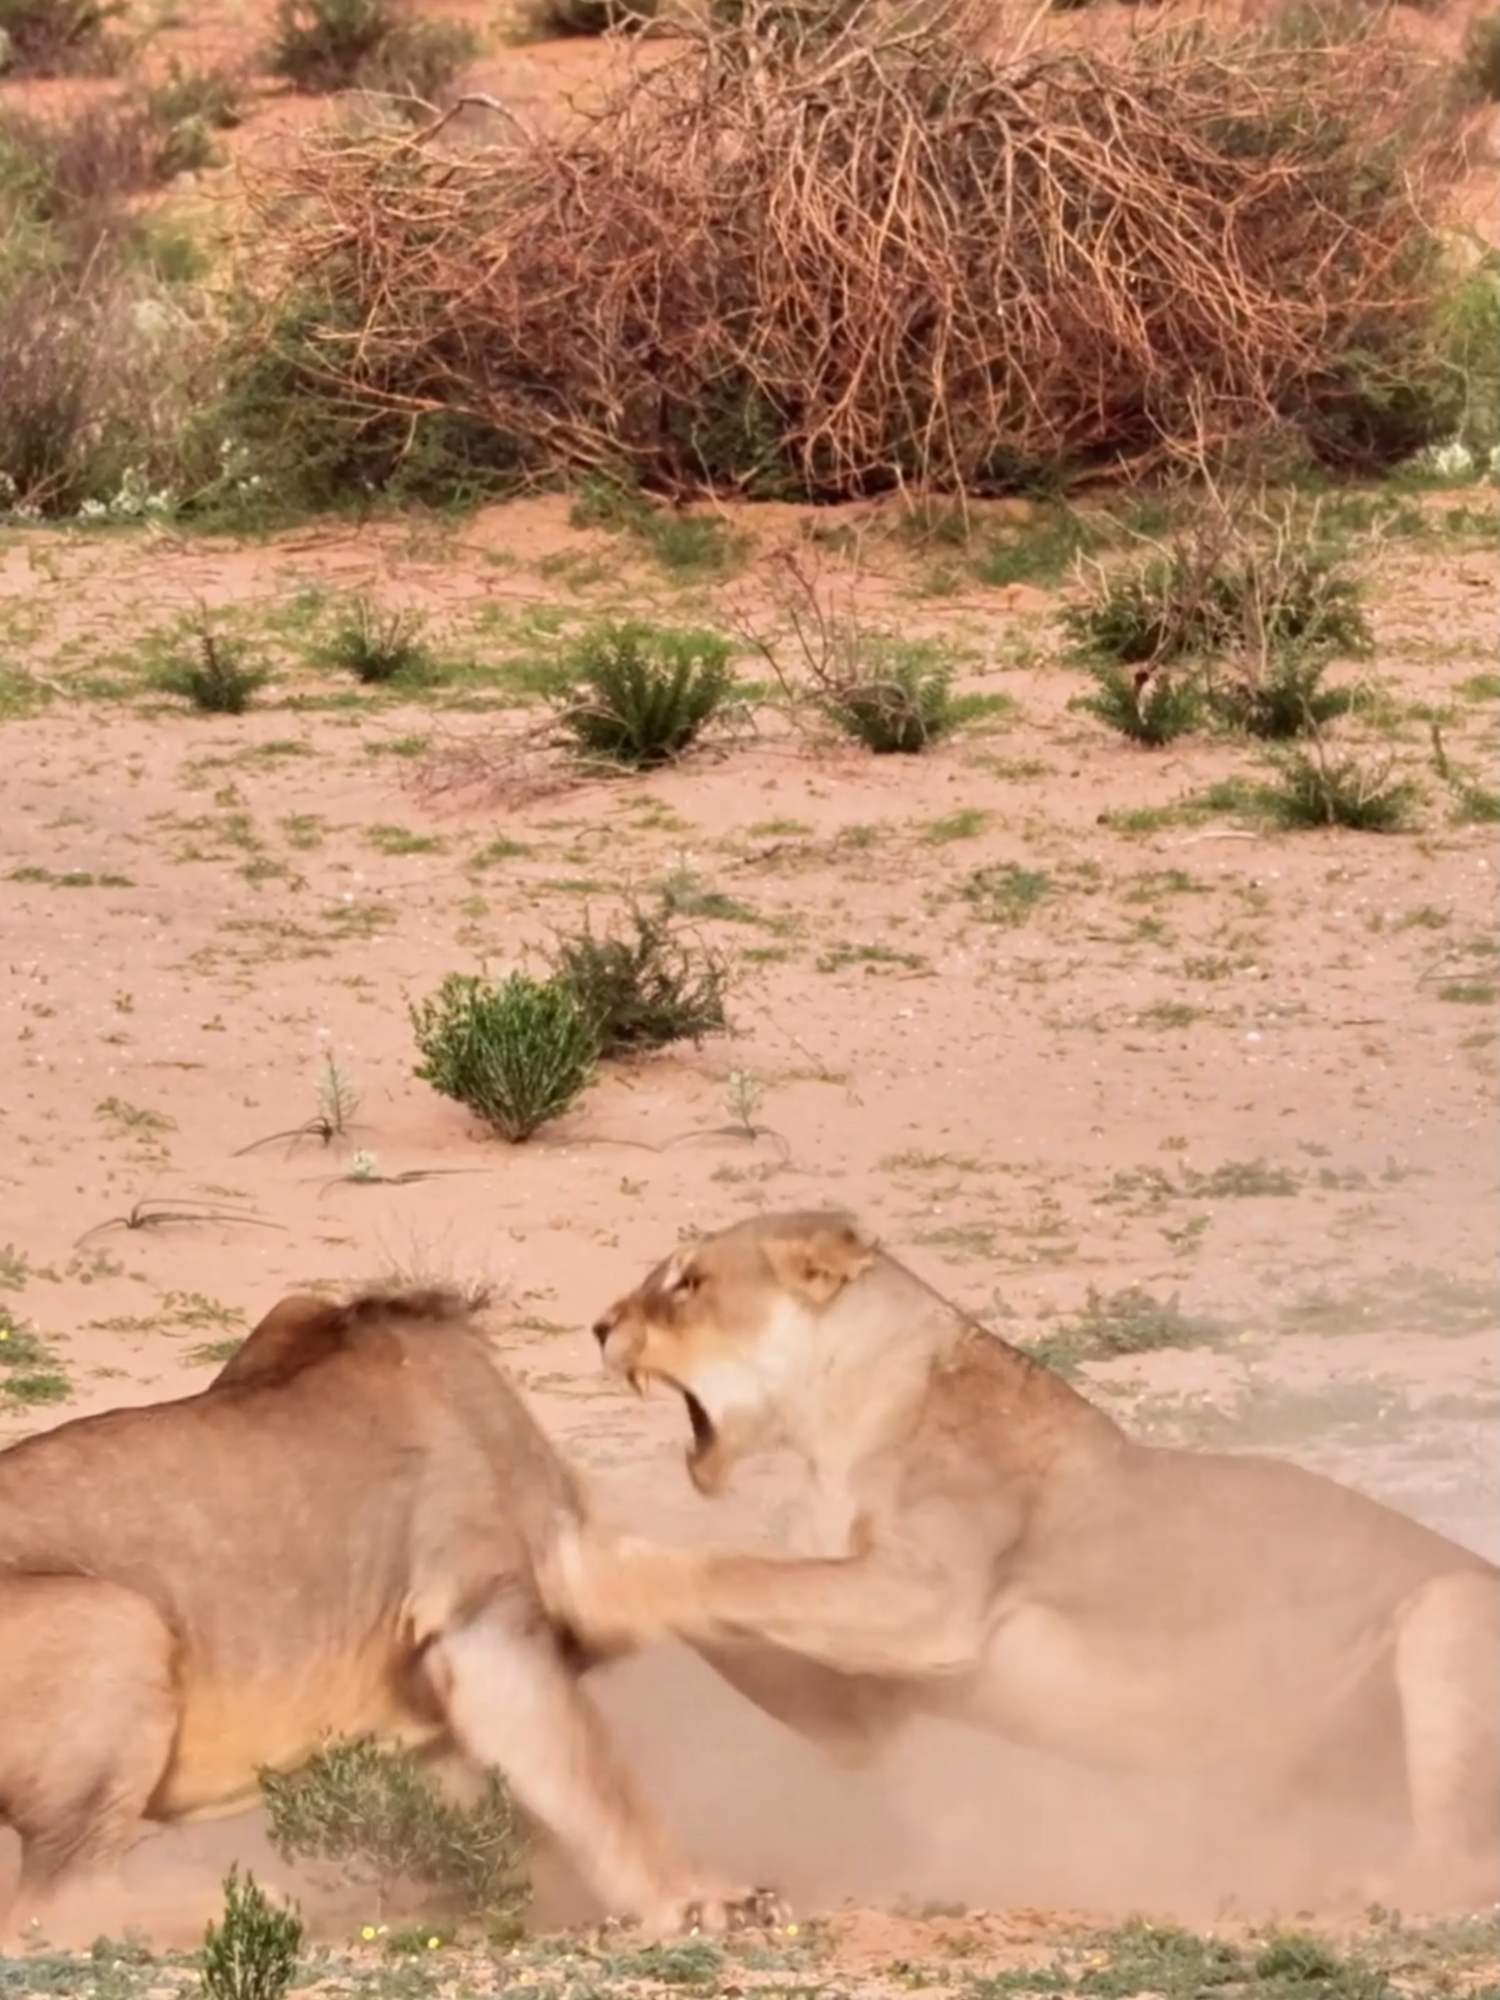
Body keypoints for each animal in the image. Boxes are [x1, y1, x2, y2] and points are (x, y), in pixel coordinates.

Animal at [0, 1280, 792, 1952]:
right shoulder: (480, 1620)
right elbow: (597, 1778)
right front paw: (710, 1901)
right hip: (116, 1619)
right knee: (45, 1909)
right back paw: (254, 1904)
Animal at [540, 1200, 1500, 1904]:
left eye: (689, 1281)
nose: (596, 1326)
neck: (830, 1427)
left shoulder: (930, 1599)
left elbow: (734, 1569)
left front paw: (589, 1574)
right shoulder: (865, 1704)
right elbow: (741, 1601)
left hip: (1451, 1615)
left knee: (1459, 1873)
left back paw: (1348, 1887)